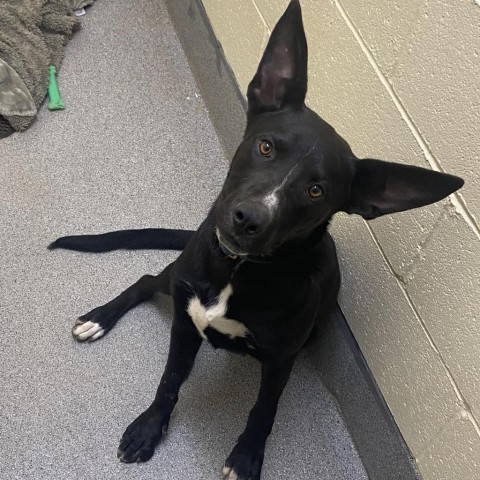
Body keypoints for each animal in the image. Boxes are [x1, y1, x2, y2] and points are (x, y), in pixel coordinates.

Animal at [48, 1, 462, 478]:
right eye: (266, 147)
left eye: (316, 190)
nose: (247, 219)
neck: (238, 268)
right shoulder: (186, 323)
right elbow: (169, 380)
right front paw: (150, 428)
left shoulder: (280, 359)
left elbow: (264, 411)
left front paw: (246, 456)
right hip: (177, 280)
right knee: (147, 279)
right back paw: (99, 318)